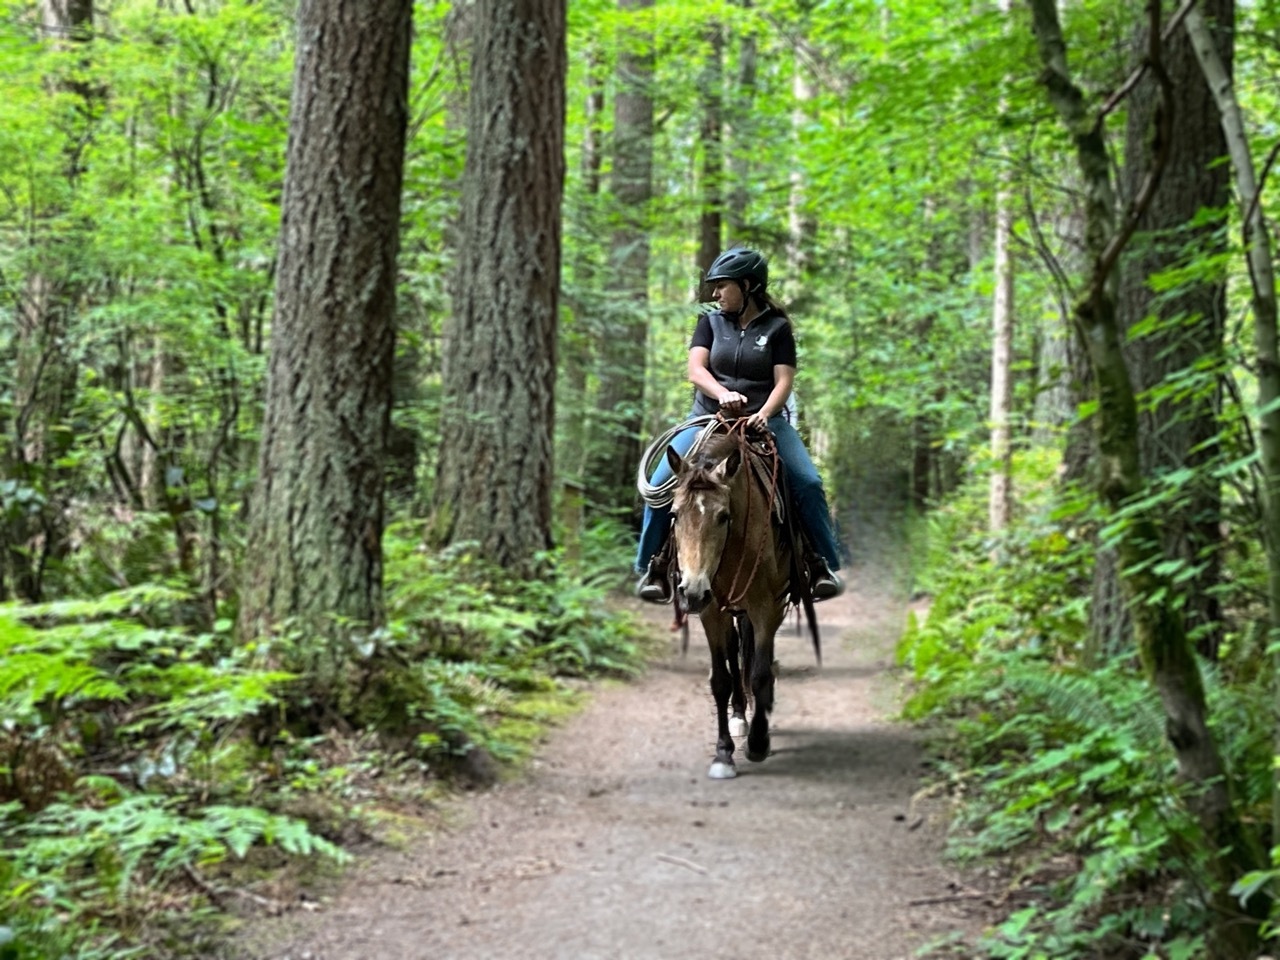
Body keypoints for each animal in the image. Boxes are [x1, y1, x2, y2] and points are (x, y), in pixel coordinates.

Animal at [665, 419, 814, 783]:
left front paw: (759, 742)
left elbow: (759, 673)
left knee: (757, 658)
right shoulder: (711, 612)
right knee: (736, 655)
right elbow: (720, 679)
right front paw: (723, 753)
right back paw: (738, 715)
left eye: (723, 516)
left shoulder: (767, 607)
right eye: (674, 514)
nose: (691, 591)